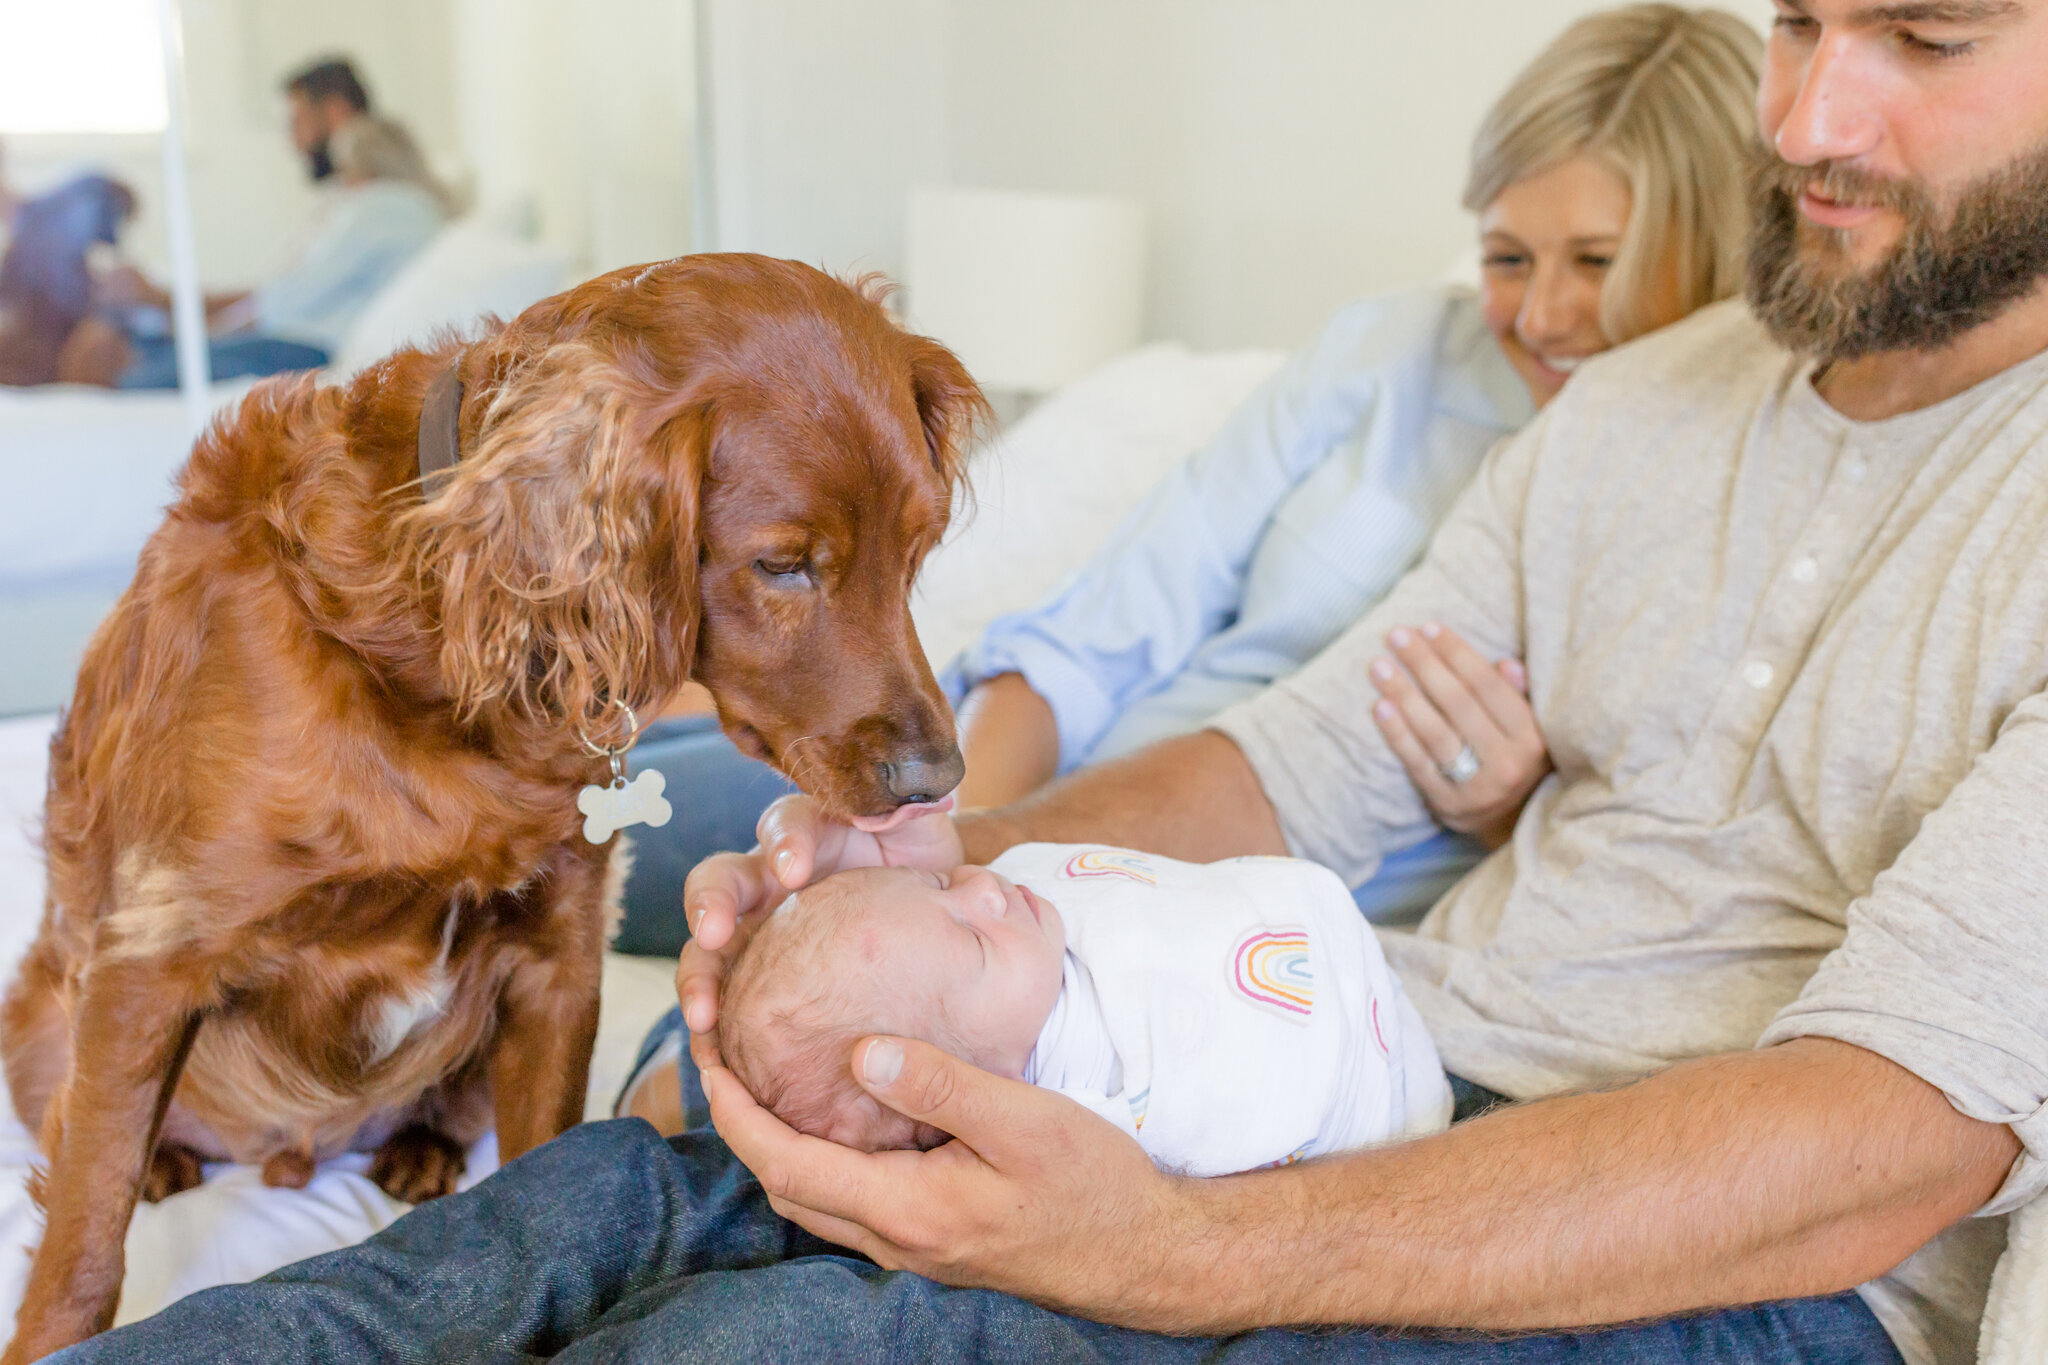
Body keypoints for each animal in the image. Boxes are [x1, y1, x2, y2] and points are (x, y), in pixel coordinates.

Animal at [0, 253, 983, 1358]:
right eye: (782, 564)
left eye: (919, 548)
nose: (937, 778)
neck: (431, 634)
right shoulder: (150, 956)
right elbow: (86, 1226)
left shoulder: (558, 961)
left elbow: (543, 1159)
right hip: (38, 1025)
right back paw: (170, 1159)